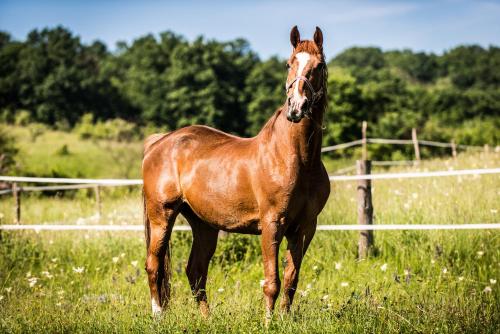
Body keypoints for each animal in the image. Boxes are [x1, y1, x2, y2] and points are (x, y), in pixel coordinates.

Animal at [143, 25, 330, 318]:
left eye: (319, 65)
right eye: (289, 64)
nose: (296, 107)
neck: (296, 160)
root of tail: (159, 141)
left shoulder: (305, 227)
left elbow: (291, 279)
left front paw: (285, 319)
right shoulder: (272, 224)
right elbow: (272, 282)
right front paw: (269, 322)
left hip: (203, 224)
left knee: (195, 271)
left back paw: (207, 319)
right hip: (162, 216)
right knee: (154, 265)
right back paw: (158, 316)